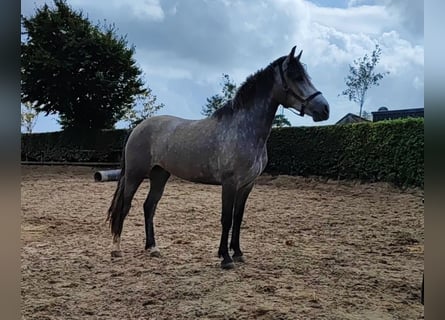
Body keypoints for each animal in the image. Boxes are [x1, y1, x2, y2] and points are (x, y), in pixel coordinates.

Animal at [106, 46, 330, 268]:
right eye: (296, 77)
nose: (325, 109)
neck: (243, 129)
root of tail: (138, 128)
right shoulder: (229, 183)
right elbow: (226, 219)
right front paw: (226, 258)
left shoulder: (247, 185)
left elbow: (238, 218)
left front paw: (238, 253)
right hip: (135, 175)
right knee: (125, 206)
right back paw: (116, 249)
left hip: (159, 174)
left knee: (149, 206)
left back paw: (152, 248)